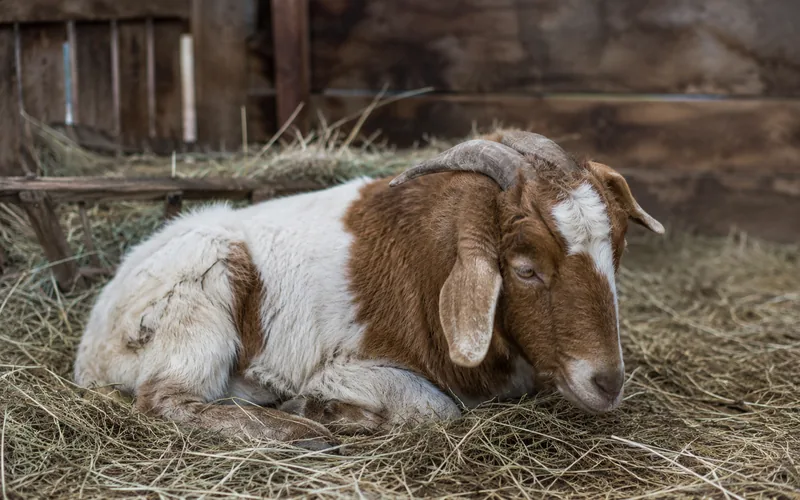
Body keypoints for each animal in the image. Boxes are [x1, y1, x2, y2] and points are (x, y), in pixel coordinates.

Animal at [74, 130, 664, 450]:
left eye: (617, 251)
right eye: (524, 269)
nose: (608, 383)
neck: (429, 267)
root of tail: (91, 346)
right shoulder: (347, 364)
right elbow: (434, 408)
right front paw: (323, 409)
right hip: (201, 295)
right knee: (166, 398)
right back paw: (301, 431)